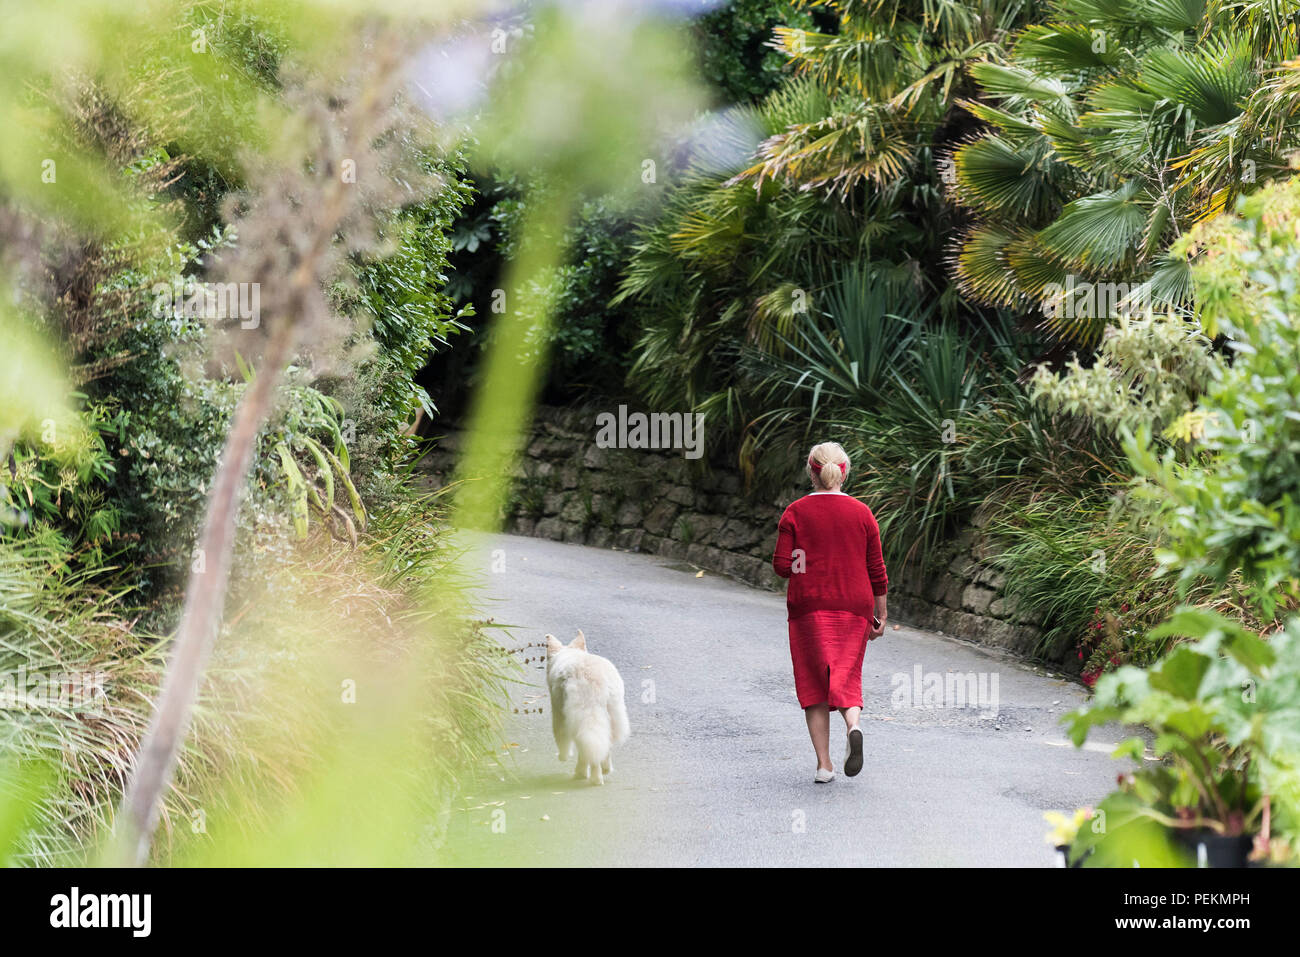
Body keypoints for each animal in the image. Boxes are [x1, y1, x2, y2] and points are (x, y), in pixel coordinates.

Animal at [543, 629, 629, 785]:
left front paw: (564, 757)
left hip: (582, 716)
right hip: (611, 714)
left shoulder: (558, 712)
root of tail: (596, 682)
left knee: (587, 747)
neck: (570, 653)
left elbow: (561, 736)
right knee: (602, 745)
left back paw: (591, 776)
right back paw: (604, 769)